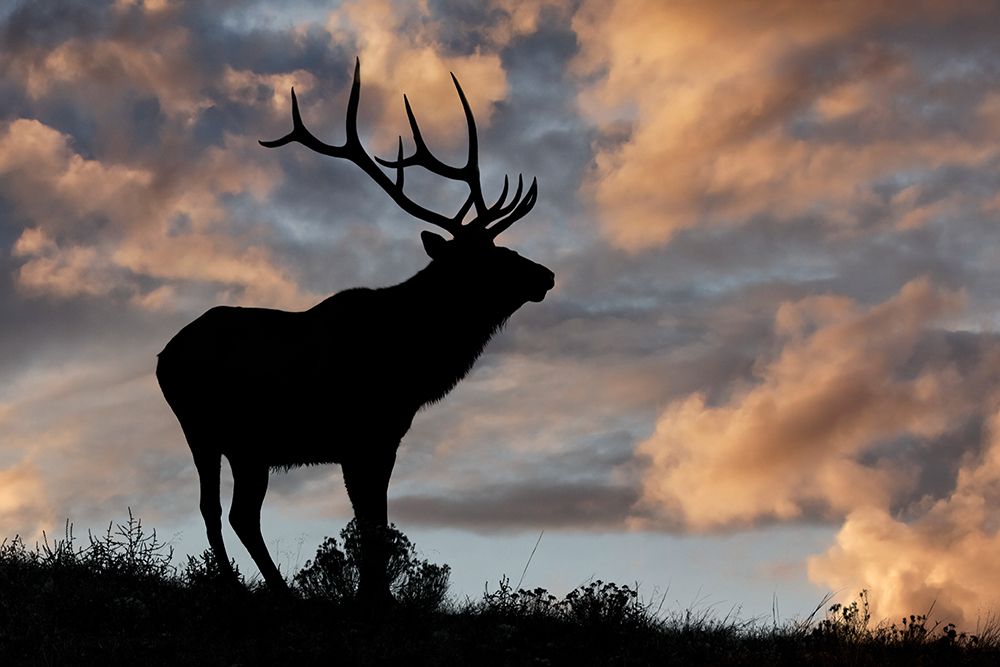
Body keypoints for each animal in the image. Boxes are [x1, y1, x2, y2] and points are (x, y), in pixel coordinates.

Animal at [156, 58, 555, 604]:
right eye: (484, 259)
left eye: (502, 248)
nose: (545, 275)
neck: (414, 366)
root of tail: (162, 358)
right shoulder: (361, 434)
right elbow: (371, 523)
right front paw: (374, 596)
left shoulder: (381, 436)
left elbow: (375, 519)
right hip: (207, 428)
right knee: (223, 512)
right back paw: (261, 589)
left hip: (241, 445)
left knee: (234, 513)